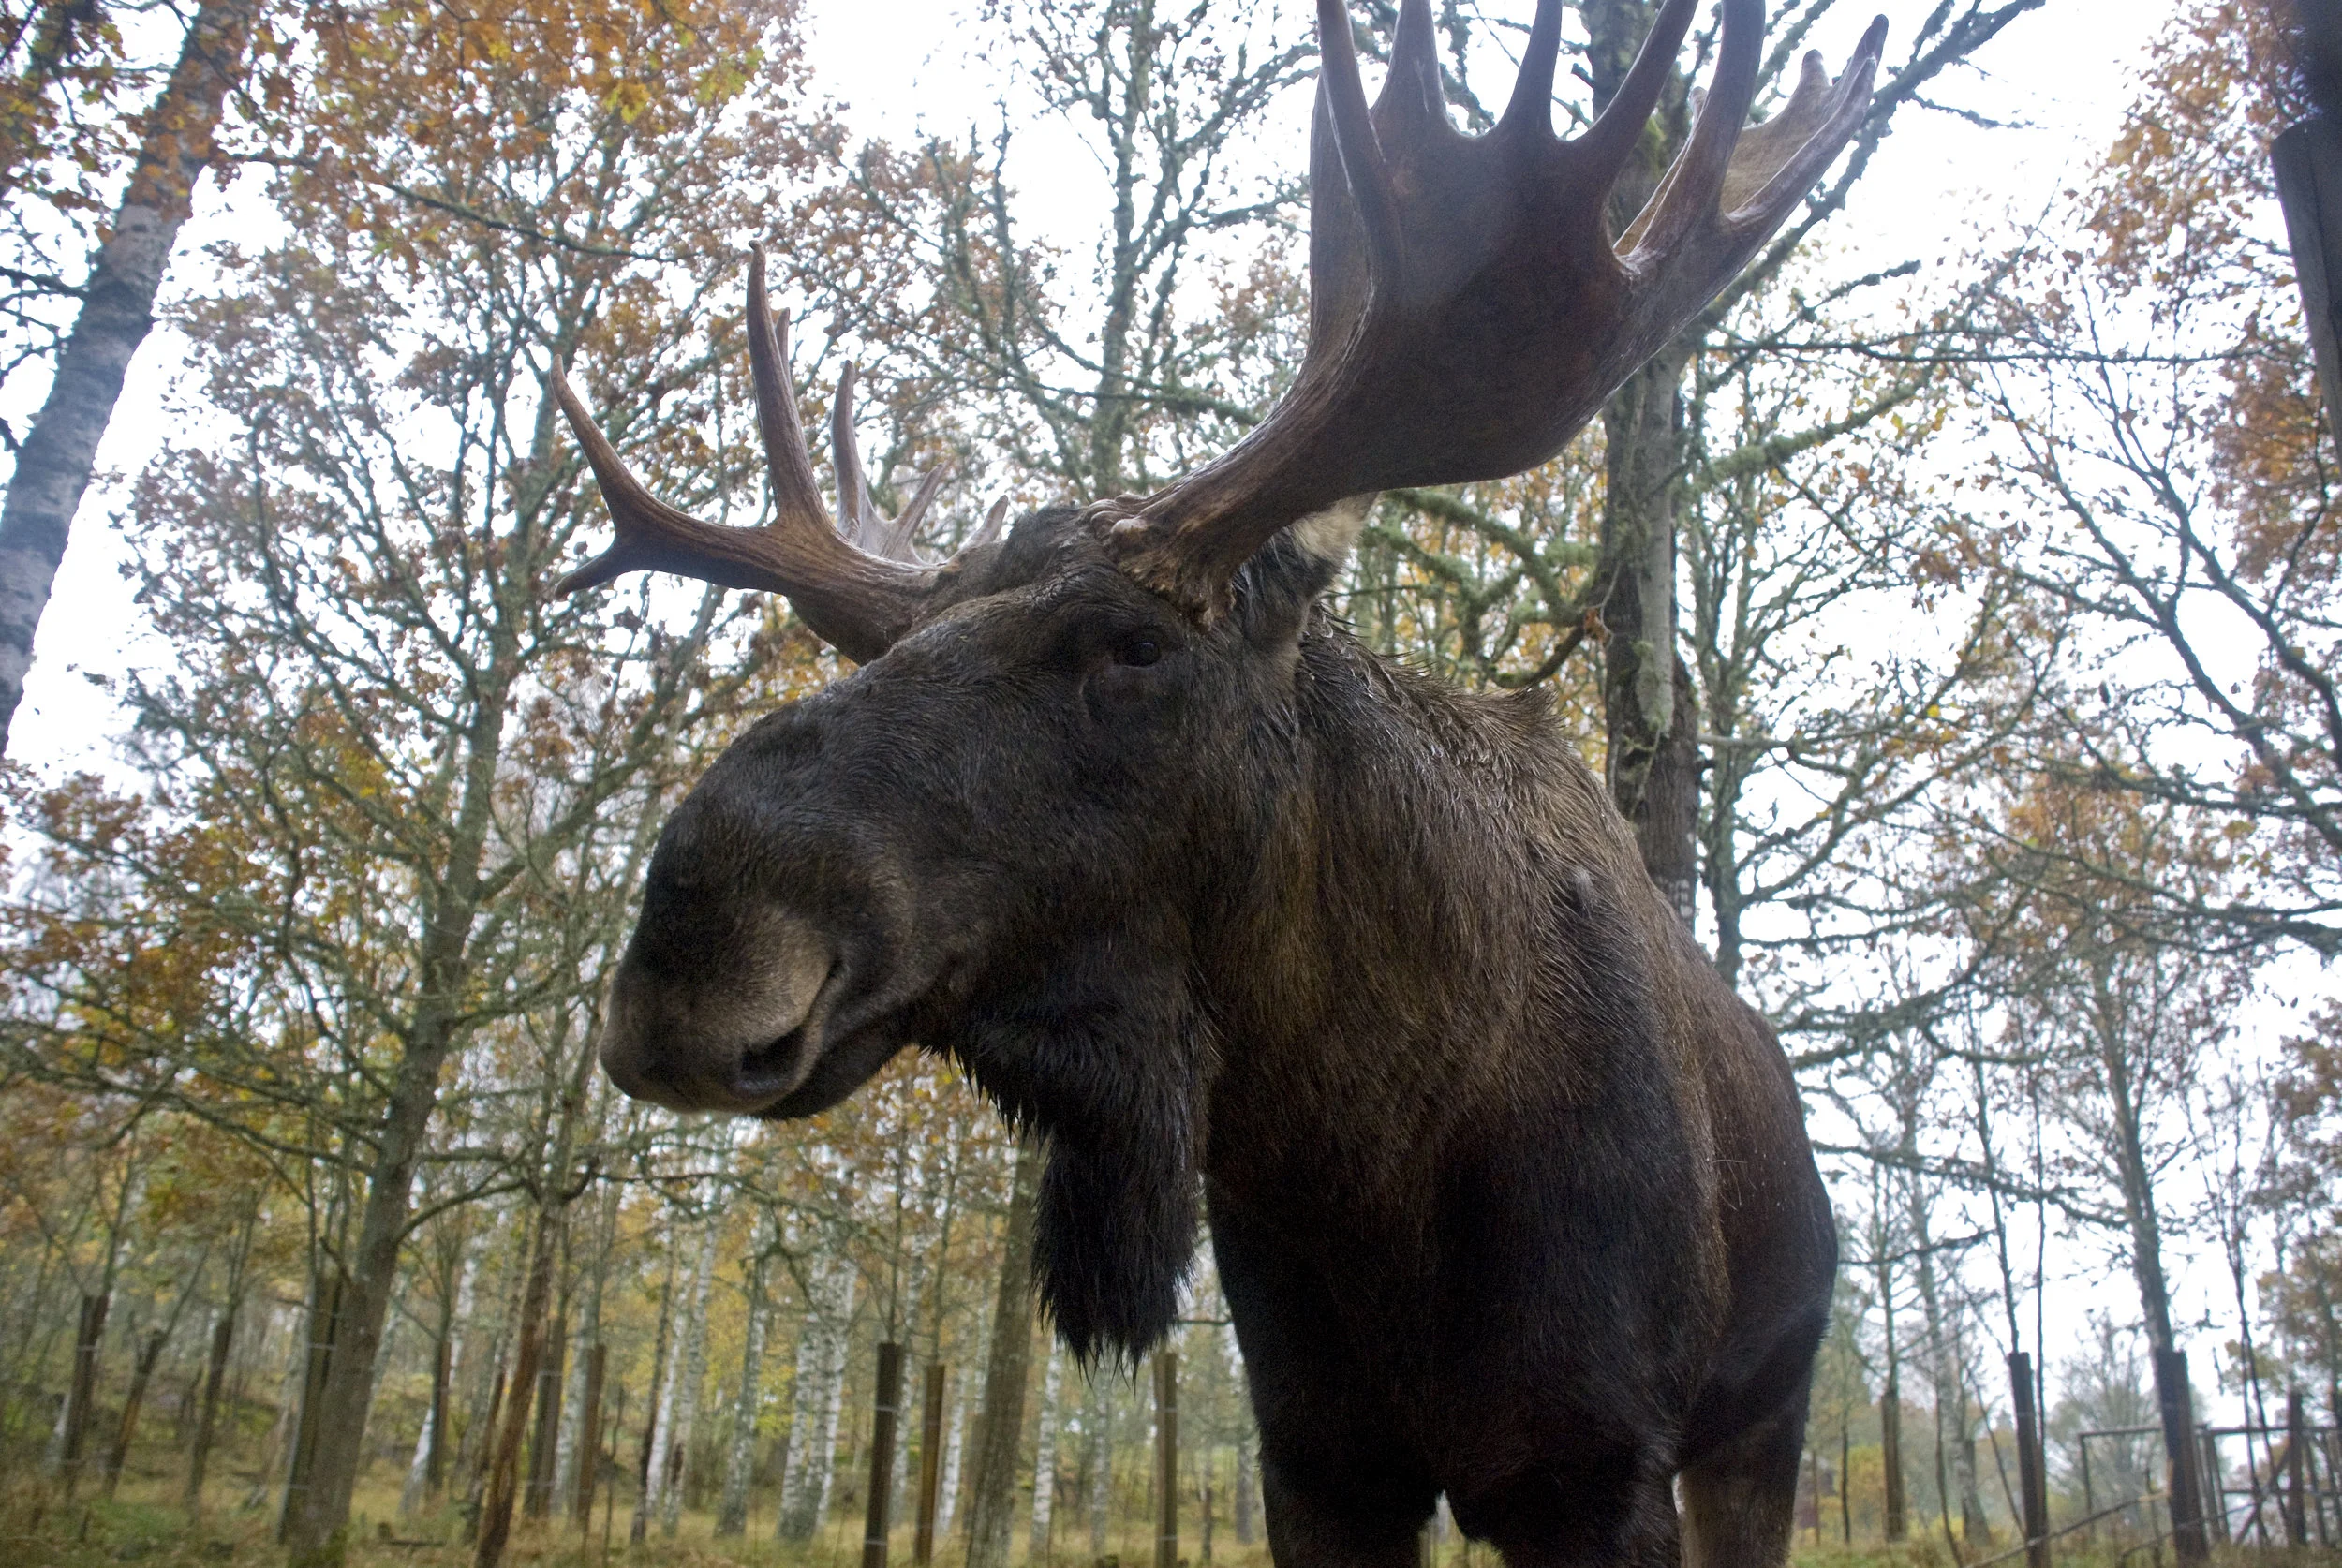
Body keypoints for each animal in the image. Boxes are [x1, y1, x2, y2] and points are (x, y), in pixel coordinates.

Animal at [550, 1, 1883, 1564]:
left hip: (1762, 1417)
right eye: (888, 643)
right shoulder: (1314, 1451)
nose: (688, 959)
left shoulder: (1604, 1460)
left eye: (1134, 642)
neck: (1364, 1157)